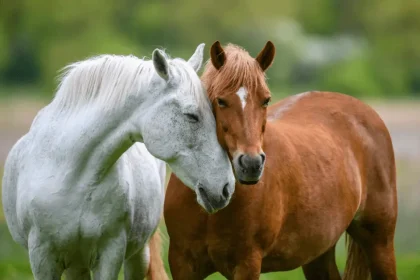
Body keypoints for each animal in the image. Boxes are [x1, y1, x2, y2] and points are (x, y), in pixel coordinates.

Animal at [0, 43, 236, 280]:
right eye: (192, 116)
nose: (227, 188)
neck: (70, 175)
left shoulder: (110, 254)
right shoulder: (42, 258)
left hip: (137, 256)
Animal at [163, 42, 398, 280]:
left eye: (265, 100)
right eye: (221, 101)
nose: (251, 164)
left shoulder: (247, 264)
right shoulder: (183, 263)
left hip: (380, 243)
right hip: (318, 253)